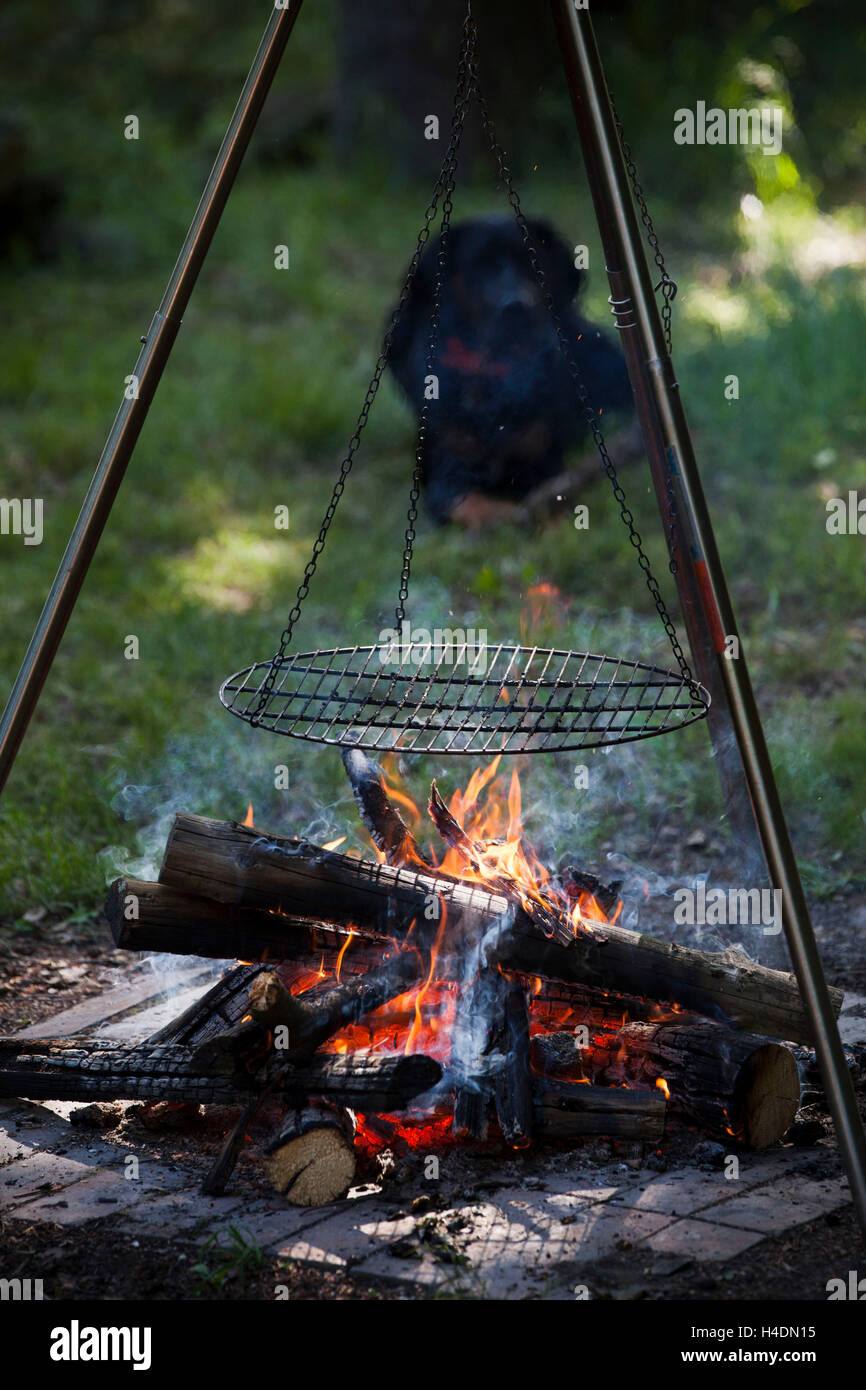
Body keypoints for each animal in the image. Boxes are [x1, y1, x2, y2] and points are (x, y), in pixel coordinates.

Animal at [389, 216, 633, 525]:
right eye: (479, 265)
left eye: (531, 260)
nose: (516, 306)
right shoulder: (443, 464)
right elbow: (462, 501)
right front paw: (499, 515)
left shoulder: (542, 458)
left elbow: (549, 494)